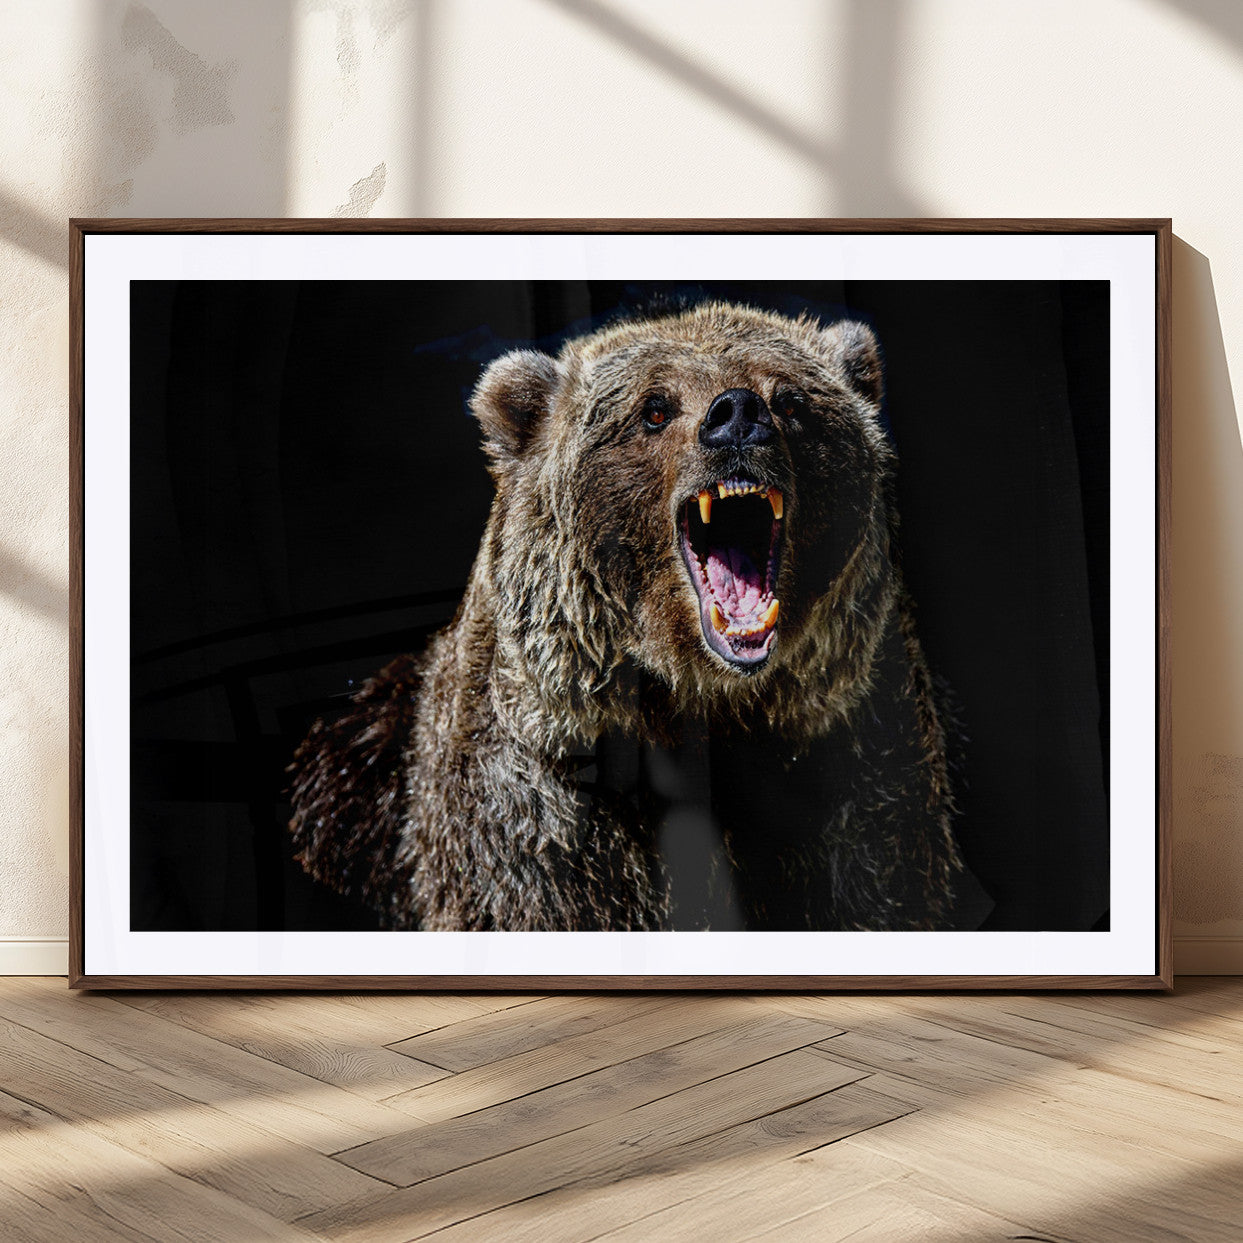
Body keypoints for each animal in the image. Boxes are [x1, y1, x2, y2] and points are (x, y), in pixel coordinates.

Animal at [288, 301, 964, 932]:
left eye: (790, 399)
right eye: (654, 409)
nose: (738, 415)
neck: (705, 704)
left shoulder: (852, 762)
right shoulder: (549, 807)